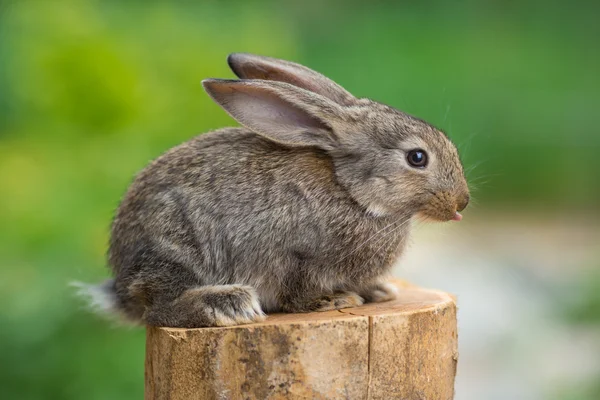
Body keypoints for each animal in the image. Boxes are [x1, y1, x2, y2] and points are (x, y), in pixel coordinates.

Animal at [78, 53, 468, 328]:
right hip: (175, 248)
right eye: (417, 157)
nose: (461, 202)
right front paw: (333, 302)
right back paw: (226, 304)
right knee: (159, 309)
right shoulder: (295, 256)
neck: (352, 192)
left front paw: (378, 292)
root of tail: (120, 287)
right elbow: (298, 291)